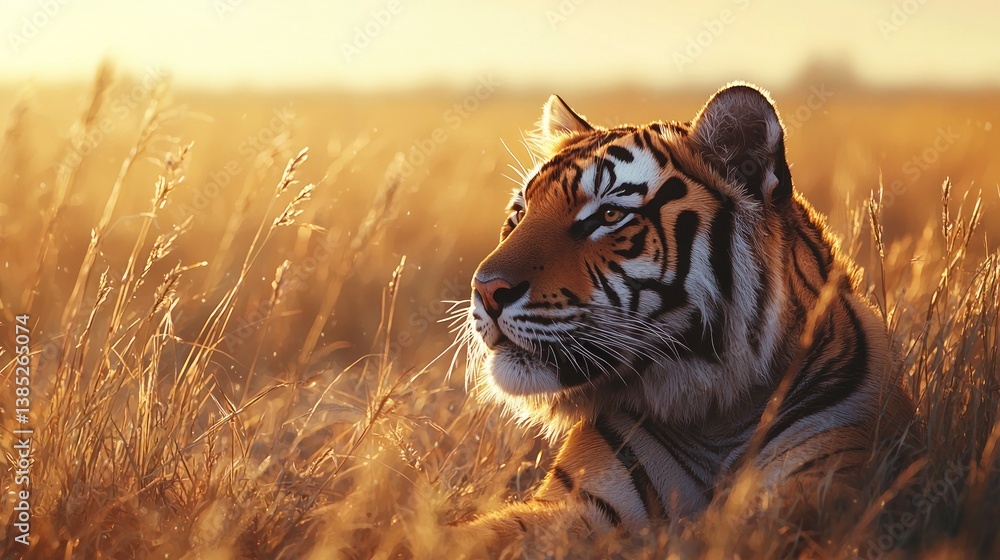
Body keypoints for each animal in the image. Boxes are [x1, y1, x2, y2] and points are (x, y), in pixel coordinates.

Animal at [459, 82, 916, 546]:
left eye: (609, 215)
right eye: (518, 215)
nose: (485, 289)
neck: (717, 416)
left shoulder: (823, 485)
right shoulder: (580, 502)